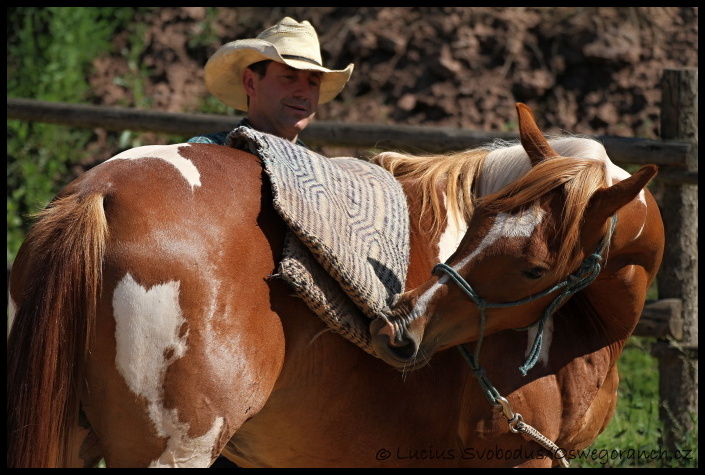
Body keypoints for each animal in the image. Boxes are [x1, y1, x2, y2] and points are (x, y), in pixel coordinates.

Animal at [8, 104, 664, 468]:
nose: (405, 330)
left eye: (532, 267)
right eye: (477, 220)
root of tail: (103, 193)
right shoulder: (521, 458)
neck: (580, 331)